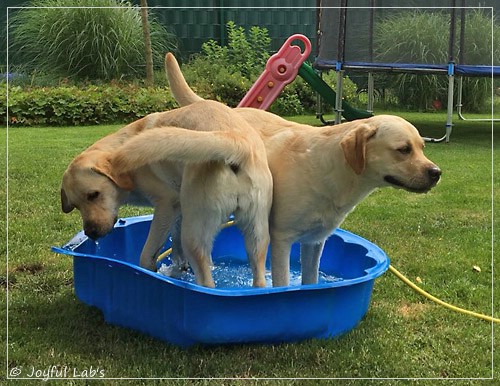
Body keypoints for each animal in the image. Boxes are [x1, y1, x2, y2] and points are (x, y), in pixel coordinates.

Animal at [62, 99, 276, 286]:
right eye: (75, 206)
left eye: (93, 194)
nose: (91, 233)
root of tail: (235, 141)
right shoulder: (179, 209)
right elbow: (176, 246)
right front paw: (179, 269)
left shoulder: (166, 204)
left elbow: (147, 255)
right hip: (256, 234)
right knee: (258, 277)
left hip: (194, 235)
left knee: (207, 282)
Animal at [165, 52, 442, 286]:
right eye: (403, 149)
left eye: (422, 147)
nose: (436, 173)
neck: (332, 172)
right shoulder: (281, 239)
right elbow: (282, 283)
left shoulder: (314, 242)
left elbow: (310, 281)